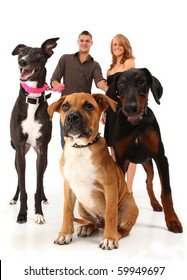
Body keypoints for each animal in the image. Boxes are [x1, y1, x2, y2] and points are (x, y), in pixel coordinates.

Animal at [48, 93, 139, 250]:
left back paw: (115, 233)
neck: (80, 147)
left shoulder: (110, 187)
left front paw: (109, 238)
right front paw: (65, 234)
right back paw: (87, 227)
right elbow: (67, 210)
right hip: (82, 206)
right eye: (65, 106)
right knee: (94, 223)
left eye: (88, 106)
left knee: (123, 229)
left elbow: (111, 213)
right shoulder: (68, 186)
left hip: (129, 205)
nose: (72, 117)